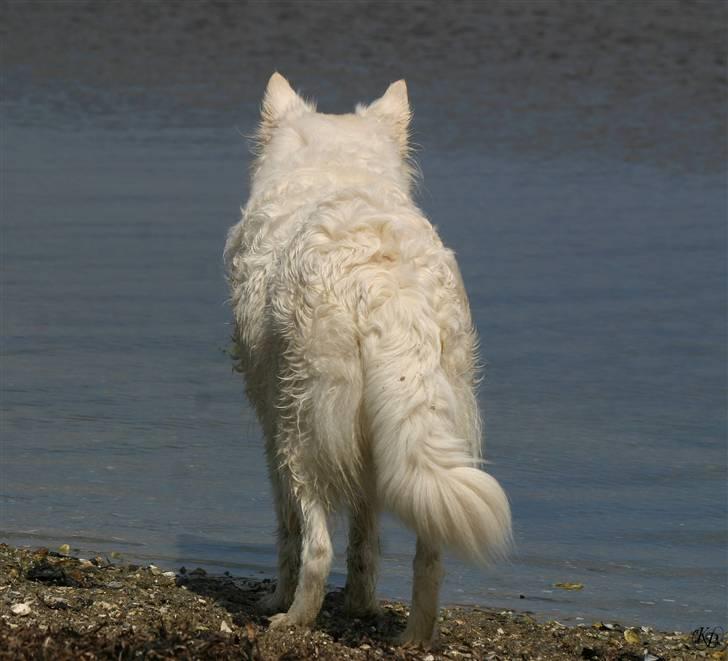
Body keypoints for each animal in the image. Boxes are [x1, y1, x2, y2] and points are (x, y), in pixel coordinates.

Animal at [223, 73, 512, 644]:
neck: (337, 168)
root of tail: (386, 289)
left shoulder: (271, 428)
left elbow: (290, 532)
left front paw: (276, 597)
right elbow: (366, 533)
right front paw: (360, 603)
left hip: (301, 432)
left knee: (315, 546)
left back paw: (292, 618)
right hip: (431, 425)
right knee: (429, 556)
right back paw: (413, 638)